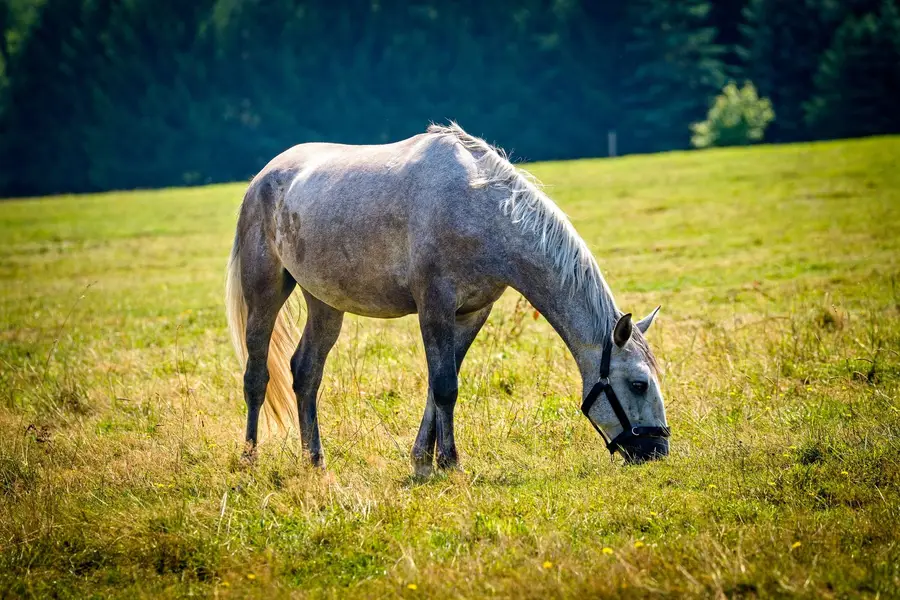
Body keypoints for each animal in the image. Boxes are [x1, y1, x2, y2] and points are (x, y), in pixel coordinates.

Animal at [225, 124, 668, 476]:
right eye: (639, 384)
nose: (658, 450)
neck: (482, 210)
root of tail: (262, 178)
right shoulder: (434, 306)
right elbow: (444, 387)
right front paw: (450, 462)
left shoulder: (471, 313)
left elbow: (440, 385)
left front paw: (424, 458)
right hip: (265, 292)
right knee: (256, 375)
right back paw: (249, 458)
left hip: (325, 302)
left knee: (306, 373)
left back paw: (314, 459)